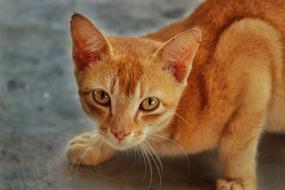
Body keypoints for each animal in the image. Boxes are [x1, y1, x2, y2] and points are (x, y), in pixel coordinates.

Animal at [66, 0, 284, 189]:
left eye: (149, 103)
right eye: (101, 96)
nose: (120, 133)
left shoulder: (252, 42)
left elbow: (237, 143)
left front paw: (237, 180)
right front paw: (94, 144)